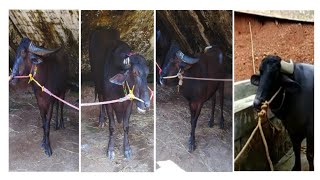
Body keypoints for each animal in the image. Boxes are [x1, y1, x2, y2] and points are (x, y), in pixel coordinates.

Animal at [89, 28, 151, 160]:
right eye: (134, 72)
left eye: (148, 73)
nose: (147, 104)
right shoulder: (109, 102)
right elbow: (112, 127)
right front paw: (110, 149)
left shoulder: (129, 104)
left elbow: (126, 126)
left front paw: (127, 149)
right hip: (97, 82)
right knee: (100, 98)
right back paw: (102, 119)